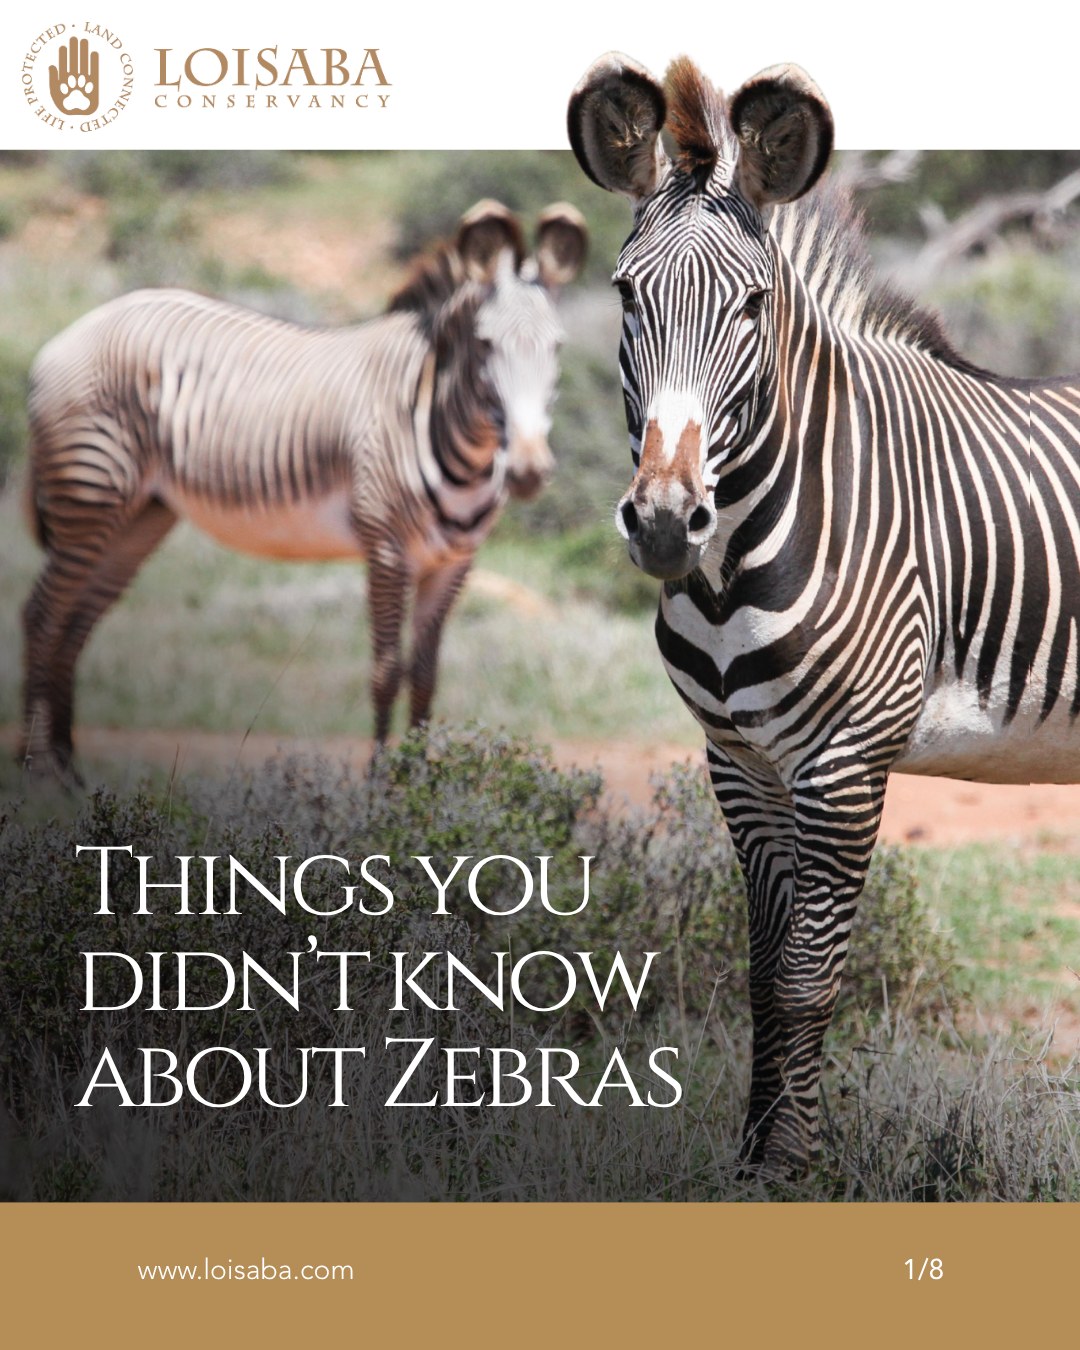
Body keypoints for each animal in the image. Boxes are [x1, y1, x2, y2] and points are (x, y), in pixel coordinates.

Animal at [19, 198, 587, 782]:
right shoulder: (386, 549)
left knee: (76, 623)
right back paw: (36, 771)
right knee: (42, 615)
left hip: (140, 514)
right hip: (90, 493)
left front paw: (421, 784)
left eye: (557, 347)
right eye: (485, 344)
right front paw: (381, 785)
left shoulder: (453, 564)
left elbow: (426, 678)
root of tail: (74, 332)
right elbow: (386, 670)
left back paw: (69, 771)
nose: (527, 470)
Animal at [569, 53, 1080, 1173]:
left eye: (754, 304)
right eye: (625, 293)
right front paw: (752, 1158)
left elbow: (809, 975)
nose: (664, 521)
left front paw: (793, 1163)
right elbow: (763, 973)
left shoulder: (845, 762)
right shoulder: (741, 762)